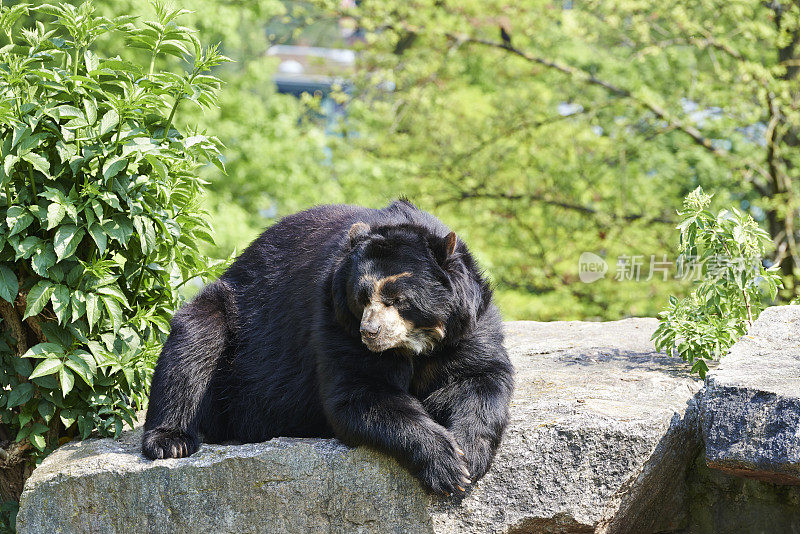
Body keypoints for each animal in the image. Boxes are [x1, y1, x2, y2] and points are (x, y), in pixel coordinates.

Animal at [142, 201, 512, 498]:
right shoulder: (335, 319)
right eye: (362, 298)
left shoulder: (467, 325)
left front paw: (469, 456)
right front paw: (447, 466)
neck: (414, 343)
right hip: (232, 325)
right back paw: (171, 440)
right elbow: (358, 392)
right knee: (193, 345)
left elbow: (480, 377)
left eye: (396, 299)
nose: (370, 333)